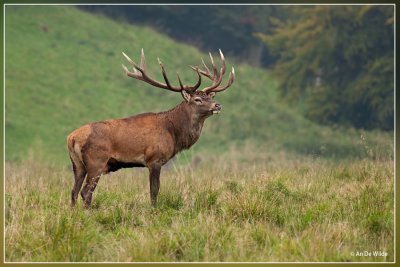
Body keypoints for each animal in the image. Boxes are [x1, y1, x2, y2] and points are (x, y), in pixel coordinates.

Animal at [65, 49, 234, 208]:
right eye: (197, 99)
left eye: (210, 97)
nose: (217, 105)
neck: (174, 133)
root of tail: (71, 138)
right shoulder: (154, 159)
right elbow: (154, 190)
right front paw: (154, 210)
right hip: (97, 161)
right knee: (86, 191)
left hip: (77, 164)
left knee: (73, 191)